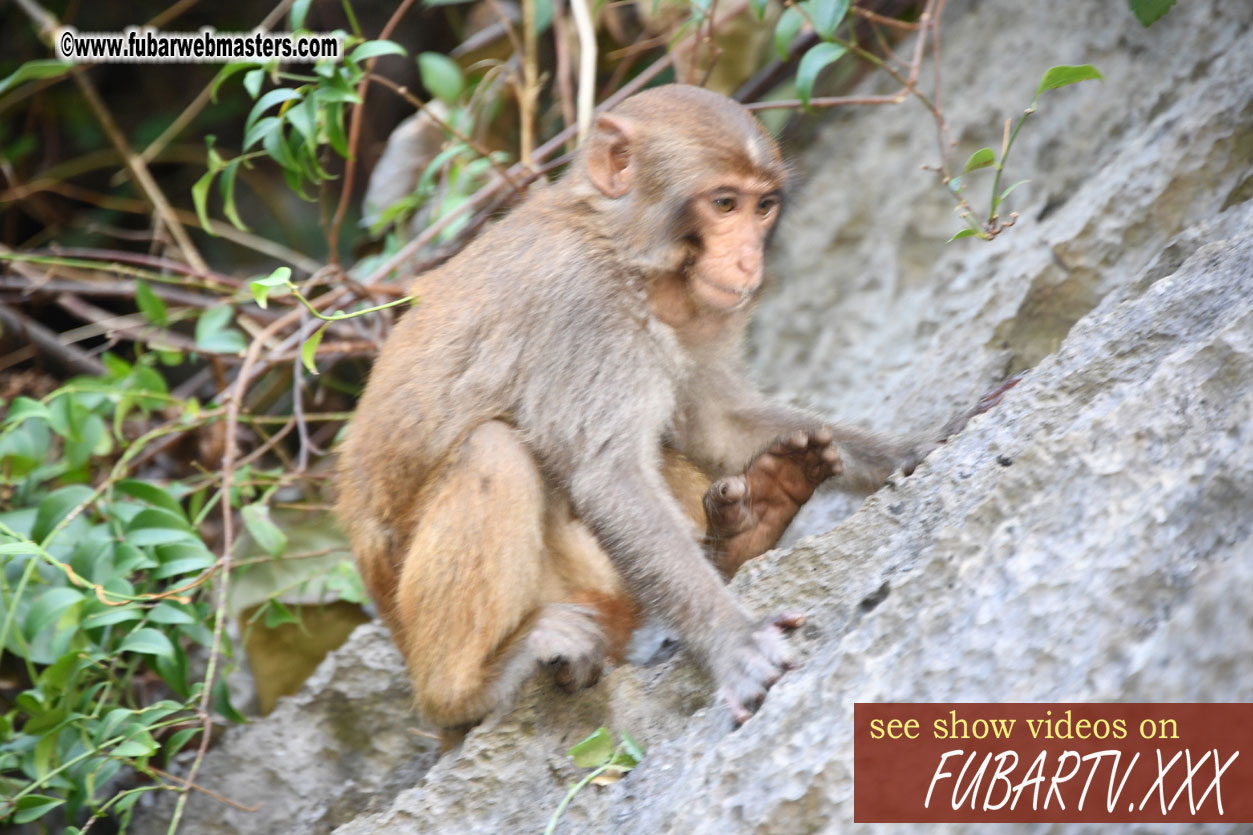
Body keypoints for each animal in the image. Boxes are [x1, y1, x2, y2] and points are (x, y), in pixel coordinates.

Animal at [335, 84, 997, 737]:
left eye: (763, 207)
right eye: (724, 204)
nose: (749, 260)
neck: (623, 252)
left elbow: (715, 422)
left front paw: (923, 443)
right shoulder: (584, 308)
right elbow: (609, 475)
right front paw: (734, 643)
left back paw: (753, 523)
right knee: (491, 449)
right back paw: (466, 690)